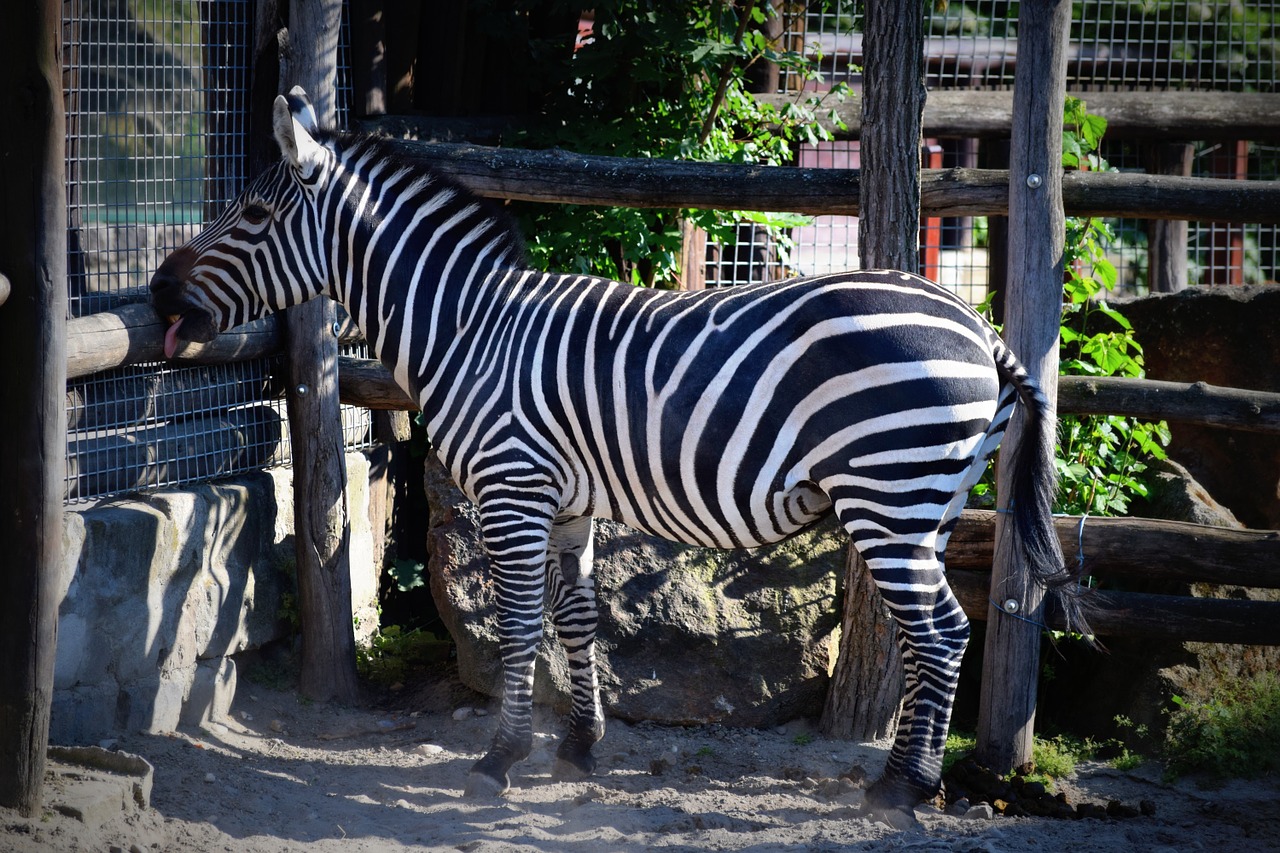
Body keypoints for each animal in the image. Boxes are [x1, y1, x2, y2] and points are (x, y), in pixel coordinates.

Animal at [152, 89, 1090, 814]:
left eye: (255, 214)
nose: (159, 290)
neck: (468, 329)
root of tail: (981, 329)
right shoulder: (566, 503)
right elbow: (576, 617)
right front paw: (580, 742)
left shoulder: (512, 488)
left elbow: (518, 622)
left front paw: (499, 758)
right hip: (929, 502)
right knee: (933, 632)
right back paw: (900, 775)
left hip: (891, 496)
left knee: (942, 631)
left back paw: (904, 787)